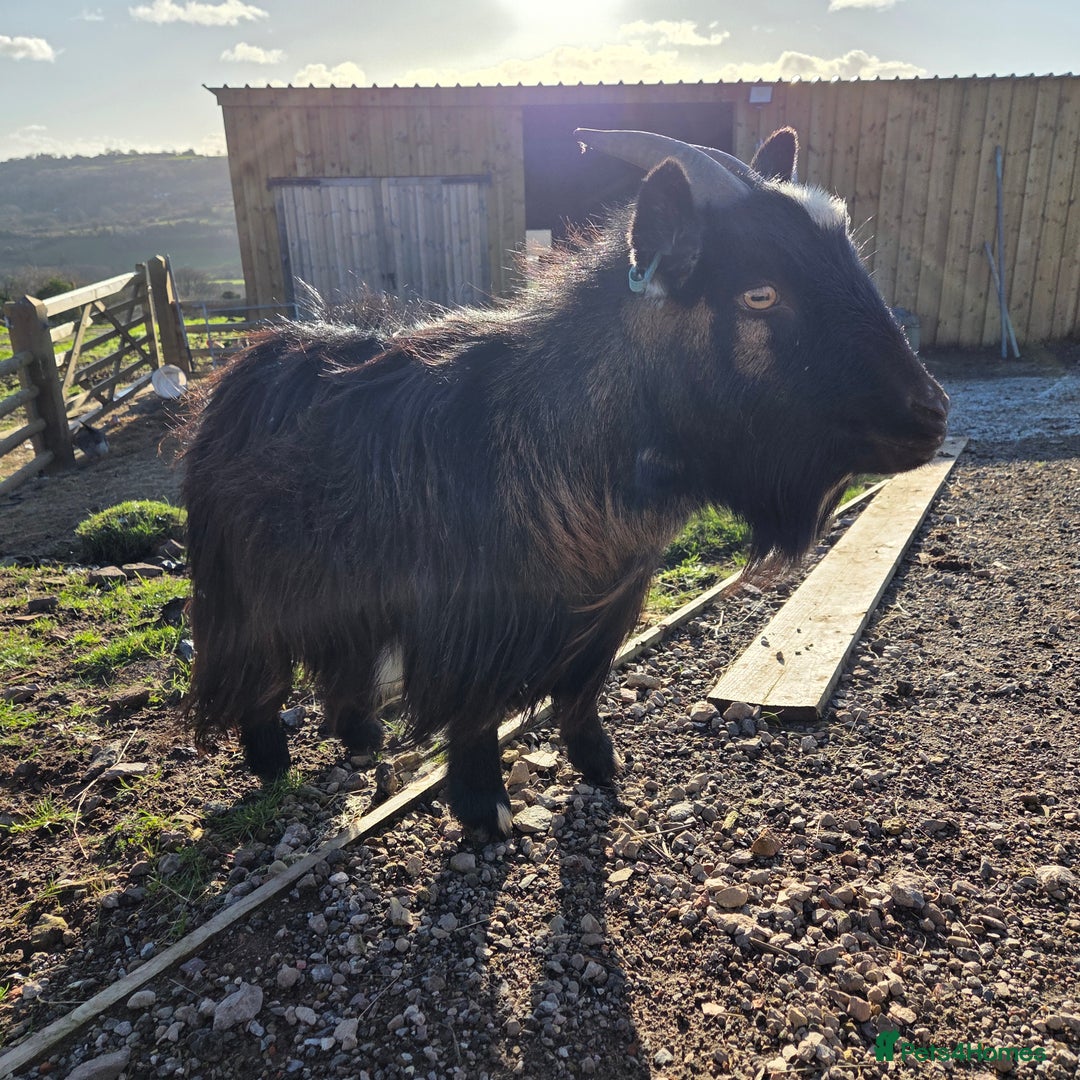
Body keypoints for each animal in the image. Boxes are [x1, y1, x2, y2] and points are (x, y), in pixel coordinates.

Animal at [180, 126, 948, 837]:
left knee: (343, 651)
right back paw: (270, 758)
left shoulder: (611, 599)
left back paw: (360, 736)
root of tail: (250, 360)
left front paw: (600, 764)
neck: (557, 431)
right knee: (255, 663)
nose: (932, 413)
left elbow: (583, 687)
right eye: (760, 293)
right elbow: (477, 708)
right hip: (242, 576)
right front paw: (484, 806)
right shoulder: (475, 615)